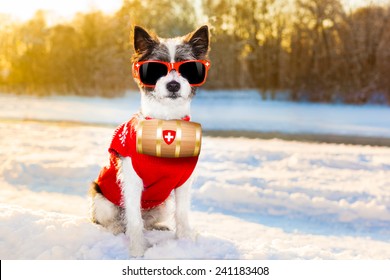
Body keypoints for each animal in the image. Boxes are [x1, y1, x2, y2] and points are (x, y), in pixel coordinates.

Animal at [88, 25, 210, 258]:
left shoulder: (183, 182)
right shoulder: (132, 182)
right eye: (156, 68)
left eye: (187, 67)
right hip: (103, 200)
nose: (173, 85)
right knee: (111, 221)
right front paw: (137, 251)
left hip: (161, 206)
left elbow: (182, 214)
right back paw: (116, 228)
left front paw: (185, 244)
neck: (167, 123)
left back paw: (157, 227)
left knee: (147, 222)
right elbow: (134, 221)